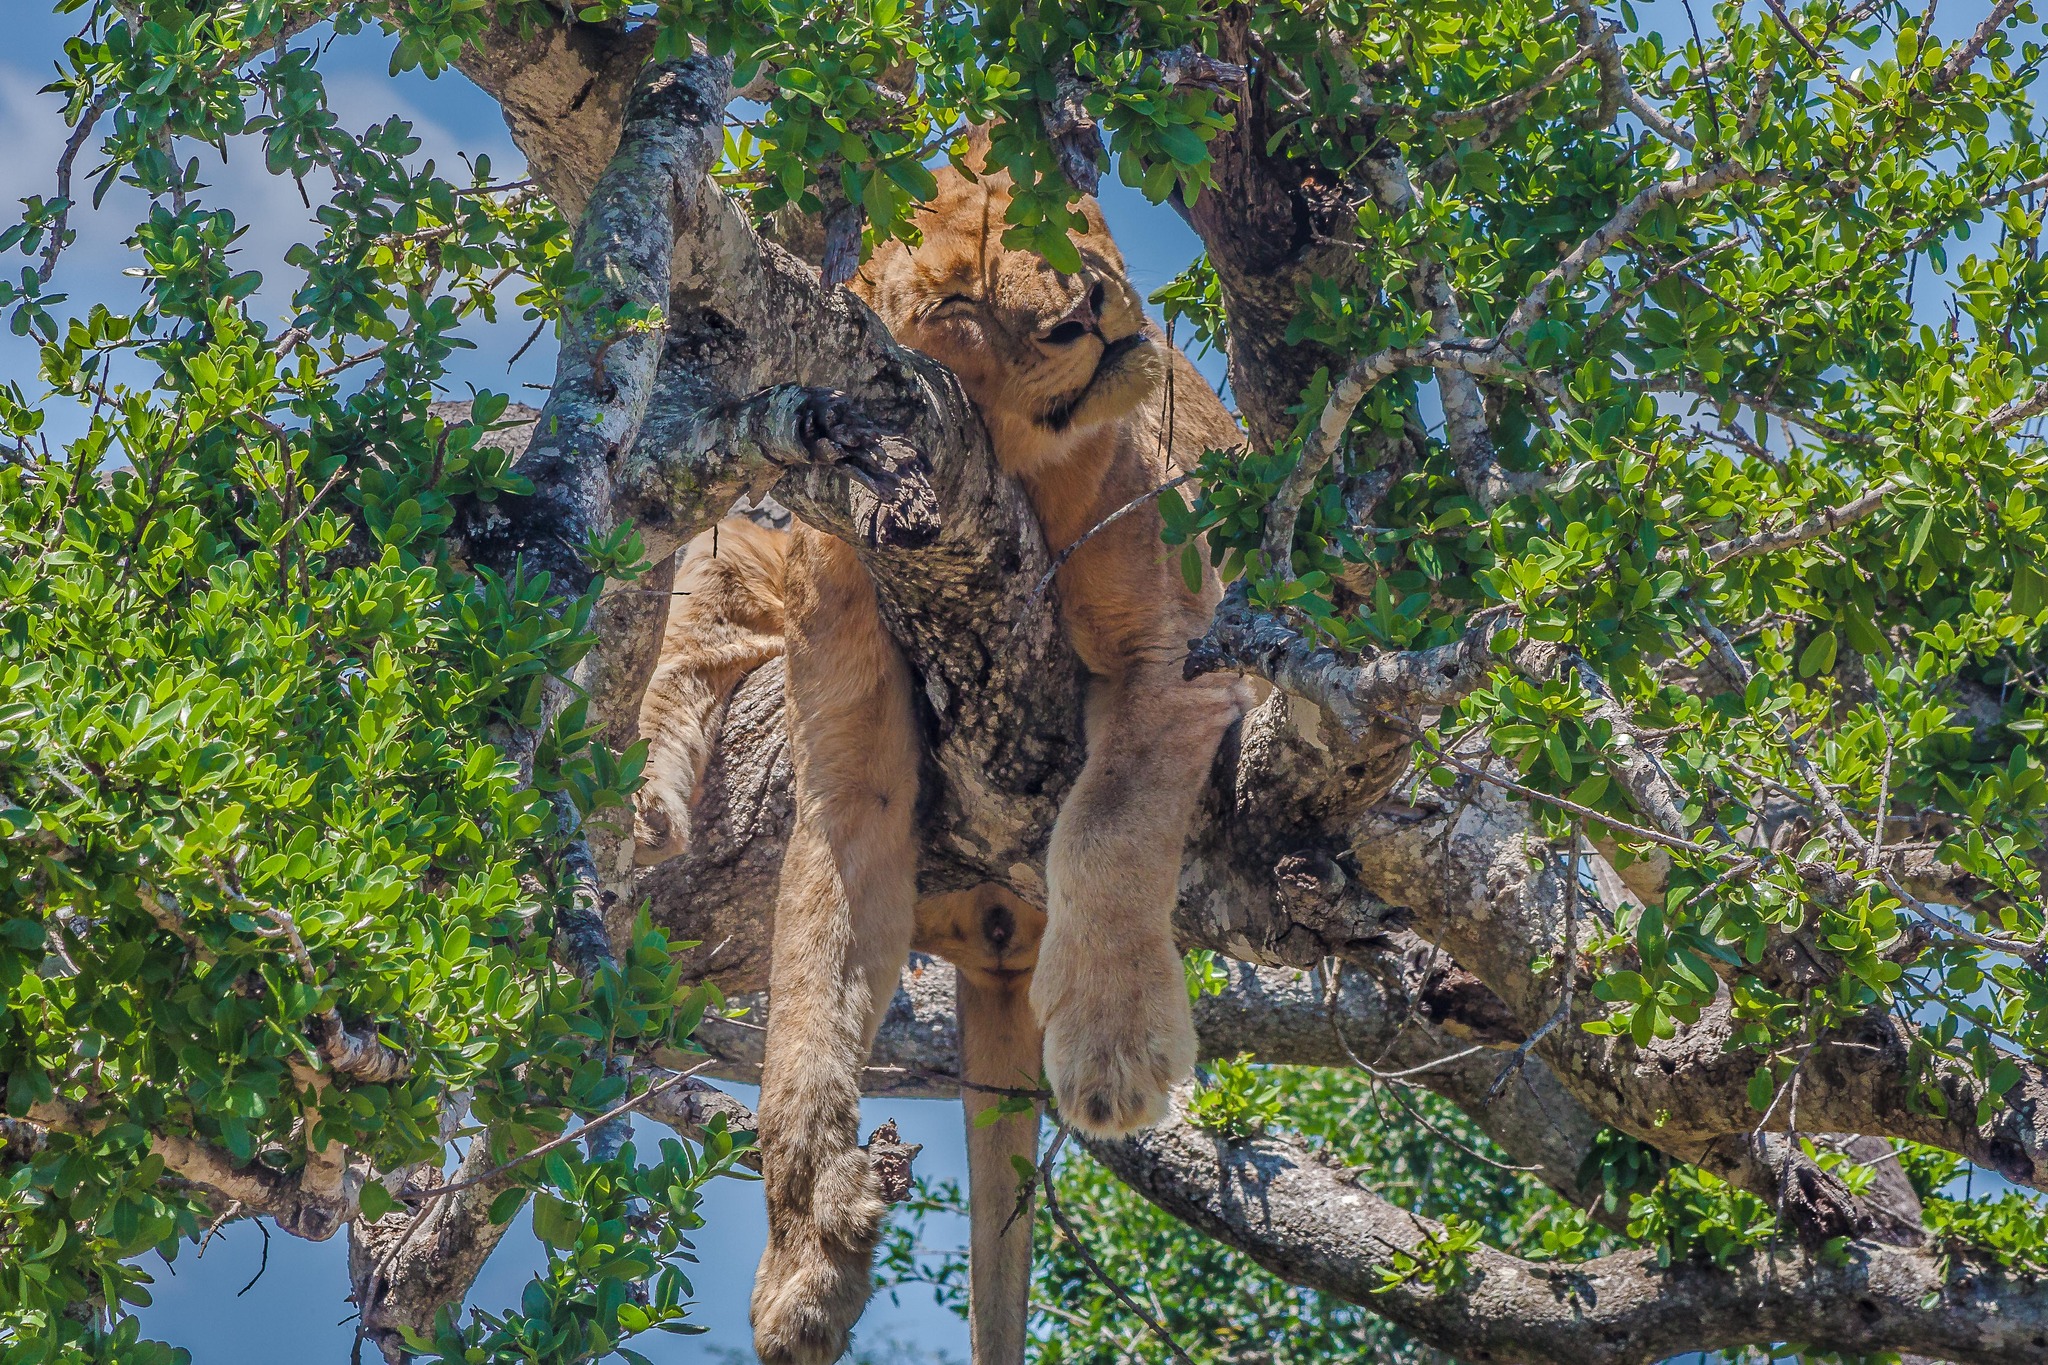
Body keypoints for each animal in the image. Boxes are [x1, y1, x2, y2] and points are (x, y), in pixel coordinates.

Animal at [634, 152, 1250, 1365]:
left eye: (1062, 224)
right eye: (959, 305)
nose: (1086, 310)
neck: (1020, 474)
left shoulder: (1179, 648)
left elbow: (1107, 820)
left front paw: (1114, 1048)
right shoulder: (848, 761)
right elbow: (808, 1013)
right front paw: (805, 1261)